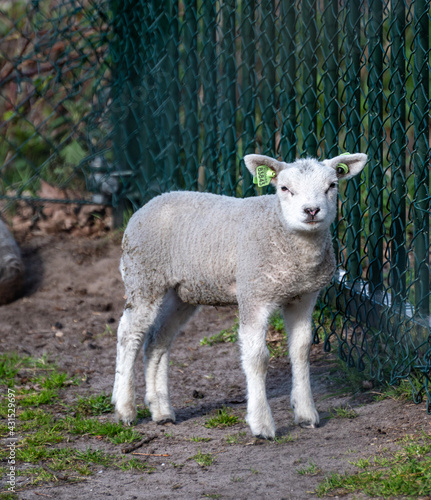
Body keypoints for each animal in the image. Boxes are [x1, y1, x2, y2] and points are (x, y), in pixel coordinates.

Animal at [111, 152, 368, 438]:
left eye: (332, 185)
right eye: (284, 188)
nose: (311, 211)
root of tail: (150, 203)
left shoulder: (303, 297)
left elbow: (301, 351)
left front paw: (306, 414)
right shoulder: (253, 294)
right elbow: (257, 359)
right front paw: (261, 424)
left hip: (181, 293)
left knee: (157, 340)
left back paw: (161, 410)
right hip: (143, 276)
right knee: (129, 334)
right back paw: (125, 409)